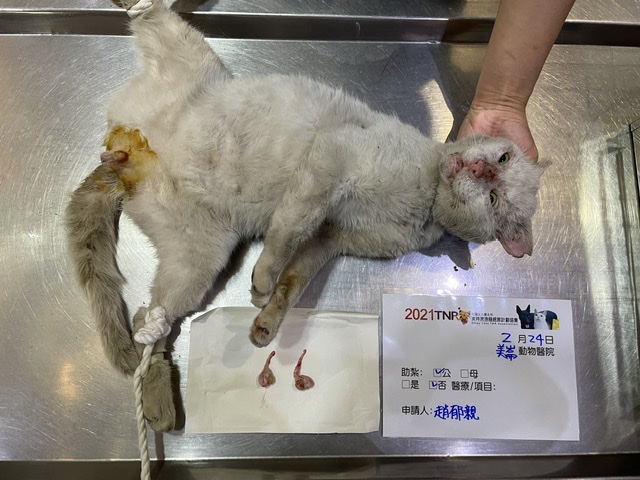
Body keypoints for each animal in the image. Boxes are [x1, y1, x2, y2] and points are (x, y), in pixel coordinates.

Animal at [65, 0, 547, 431]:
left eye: (494, 199)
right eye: (503, 158)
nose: (480, 169)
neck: (425, 200)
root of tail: (125, 152)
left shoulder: (329, 238)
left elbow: (293, 281)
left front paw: (266, 322)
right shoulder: (330, 161)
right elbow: (286, 230)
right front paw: (261, 280)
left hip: (200, 256)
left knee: (150, 323)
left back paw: (158, 402)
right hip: (194, 58)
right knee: (153, 16)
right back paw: (133, 3)